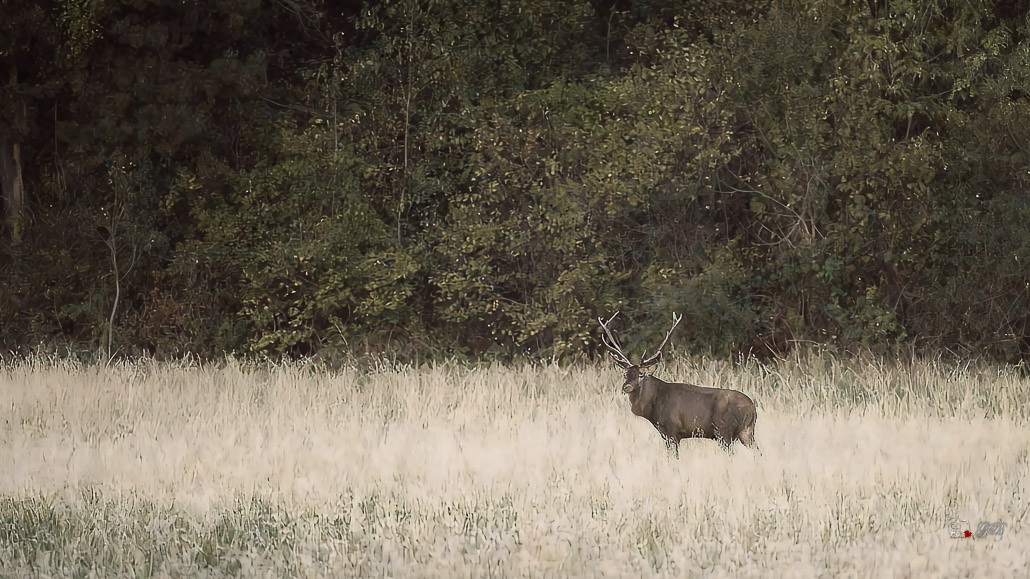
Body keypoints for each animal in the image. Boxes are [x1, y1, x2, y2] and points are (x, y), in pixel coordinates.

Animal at [599, 312, 759, 457]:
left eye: (641, 374)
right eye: (625, 374)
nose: (626, 387)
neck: (653, 408)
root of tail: (752, 408)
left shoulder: (672, 430)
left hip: (724, 430)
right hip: (746, 431)